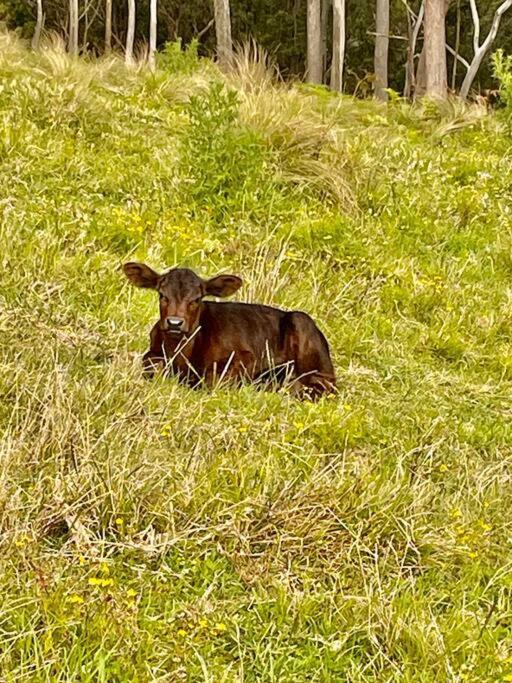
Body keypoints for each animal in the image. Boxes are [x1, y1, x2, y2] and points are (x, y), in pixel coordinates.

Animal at [123, 264, 336, 398]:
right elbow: (149, 363)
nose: (175, 322)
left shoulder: (246, 357)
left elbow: (213, 379)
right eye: (162, 295)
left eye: (197, 299)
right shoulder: (153, 352)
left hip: (304, 329)